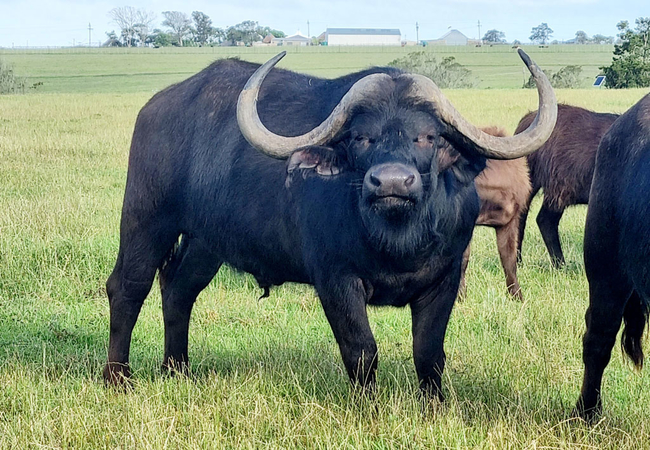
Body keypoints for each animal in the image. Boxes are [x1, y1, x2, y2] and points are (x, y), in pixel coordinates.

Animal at [103, 50, 556, 400]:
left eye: (428, 137)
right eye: (361, 137)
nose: (392, 182)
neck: (396, 240)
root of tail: (158, 106)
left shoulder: (445, 277)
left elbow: (429, 354)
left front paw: (435, 407)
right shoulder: (336, 280)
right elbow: (362, 350)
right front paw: (367, 408)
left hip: (205, 241)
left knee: (179, 289)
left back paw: (176, 369)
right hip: (146, 218)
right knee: (127, 287)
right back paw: (118, 378)